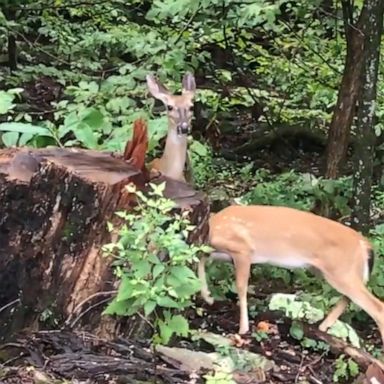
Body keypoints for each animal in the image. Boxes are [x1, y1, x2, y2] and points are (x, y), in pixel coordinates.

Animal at [198, 204, 384, 352]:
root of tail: (365, 244)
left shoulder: (243, 251)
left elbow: (241, 287)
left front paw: (243, 328)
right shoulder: (221, 253)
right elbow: (201, 259)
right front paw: (208, 297)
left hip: (342, 271)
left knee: (376, 307)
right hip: (333, 271)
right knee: (351, 298)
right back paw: (323, 327)